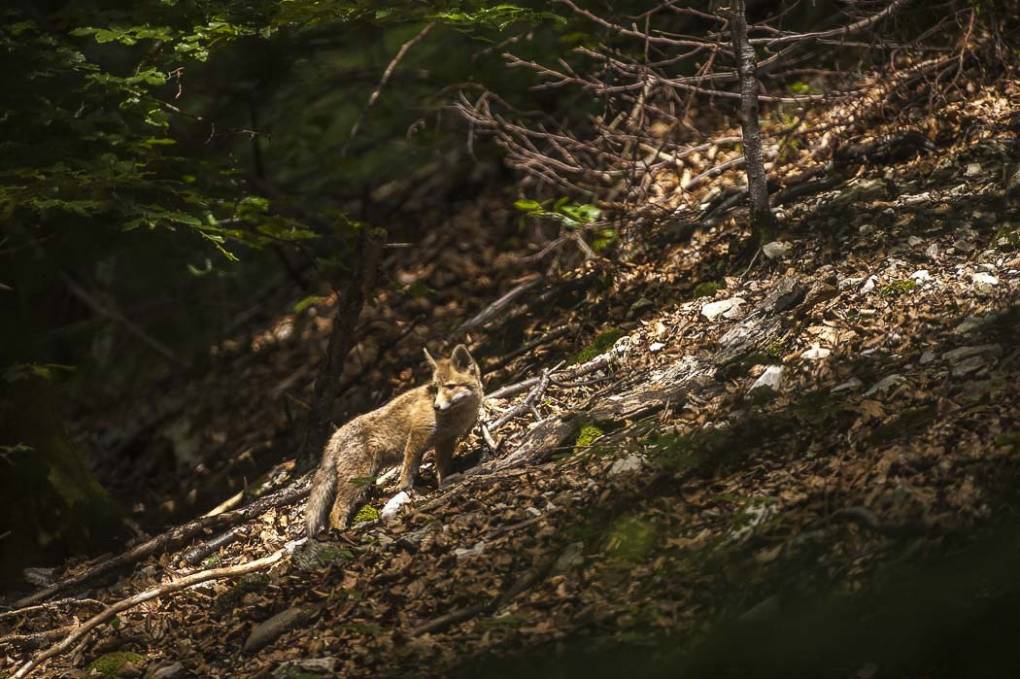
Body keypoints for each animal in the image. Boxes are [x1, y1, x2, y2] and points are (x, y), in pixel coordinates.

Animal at [303, 344, 483, 534]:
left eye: (450, 386)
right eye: (436, 388)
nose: (436, 407)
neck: (455, 416)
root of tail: (335, 436)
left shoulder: (445, 441)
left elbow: (442, 470)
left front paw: (443, 485)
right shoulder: (417, 436)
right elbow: (408, 472)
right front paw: (405, 489)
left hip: (367, 475)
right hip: (359, 477)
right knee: (336, 511)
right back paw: (345, 533)